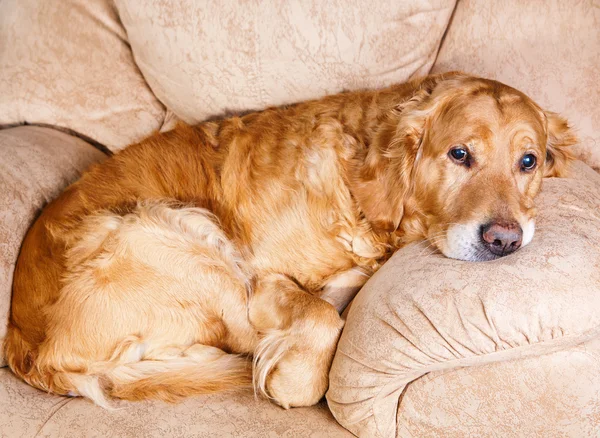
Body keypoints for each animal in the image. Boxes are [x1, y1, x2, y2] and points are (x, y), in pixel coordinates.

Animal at [4, 70, 576, 408]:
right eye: (459, 154)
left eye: (528, 161)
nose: (503, 239)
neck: (361, 192)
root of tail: (29, 349)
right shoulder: (261, 280)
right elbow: (313, 337)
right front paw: (290, 374)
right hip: (173, 230)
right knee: (244, 338)